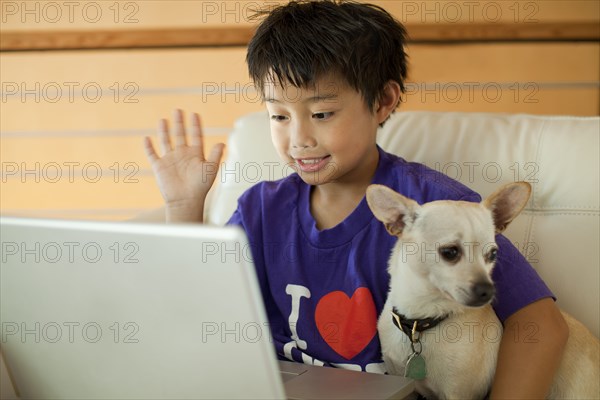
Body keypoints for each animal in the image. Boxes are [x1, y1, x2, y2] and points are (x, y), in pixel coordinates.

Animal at [366, 182, 600, 400]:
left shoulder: (458, 394)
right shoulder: (405, 385)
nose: (488, 290)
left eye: (492, 254)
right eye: (450, 252)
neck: (422, 321)